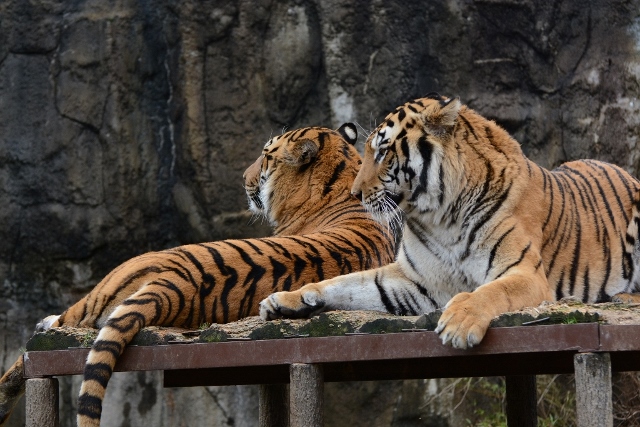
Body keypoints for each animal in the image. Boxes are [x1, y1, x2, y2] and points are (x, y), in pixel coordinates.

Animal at [0, 123, 396, 427]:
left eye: (267, 156)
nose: (243, 177)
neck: (341, 184)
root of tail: (176, 285)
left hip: (105, 286)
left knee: (34, 348)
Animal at [258, 94, 640, 352]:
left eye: (382, 151)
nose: (355, 192)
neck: (441, 216)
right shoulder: (413, 280)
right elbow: (346, 283)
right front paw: (285, 300)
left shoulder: (525, 273)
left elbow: (490, 290)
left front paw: (459, 321)